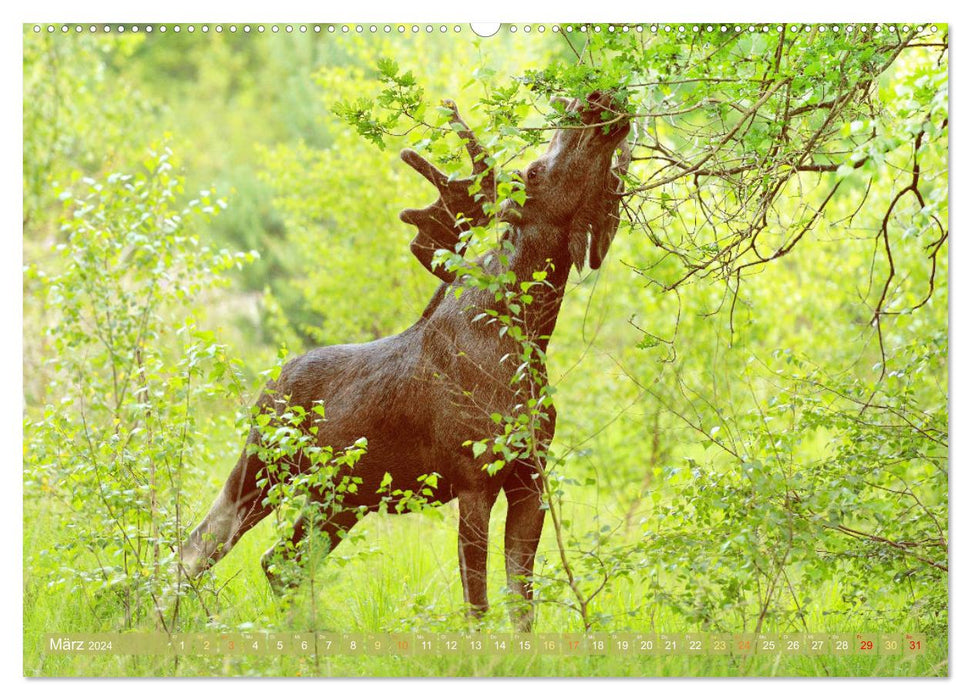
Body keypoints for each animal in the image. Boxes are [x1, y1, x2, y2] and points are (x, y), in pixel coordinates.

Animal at [183, 90, 636, 632]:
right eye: (532, 170)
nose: (595, 98)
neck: (529, 336)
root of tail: (267, 386)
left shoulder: (530, 476)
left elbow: (522, 605)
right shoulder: (473, 479)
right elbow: (478, 605)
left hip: (341, 498)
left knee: (279, 562)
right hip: (262, 466)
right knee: (197, 548)